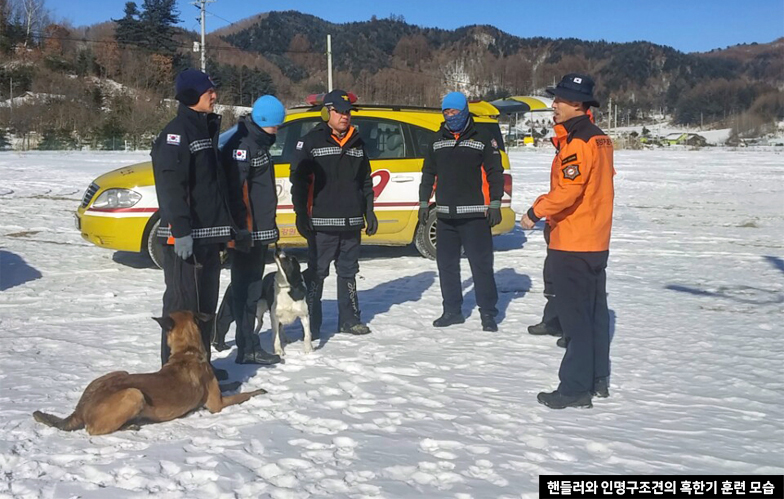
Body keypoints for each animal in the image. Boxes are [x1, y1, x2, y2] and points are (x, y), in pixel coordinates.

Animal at [34, 310, 266, 436]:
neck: (187, 351)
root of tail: (80, 408)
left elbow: (228, 385)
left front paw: (234, 383)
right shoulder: (217, 404)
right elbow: (243, 395)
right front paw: (257, 391)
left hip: (119, 373)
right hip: (134, 394)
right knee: (93, 429)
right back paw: (130, 425)